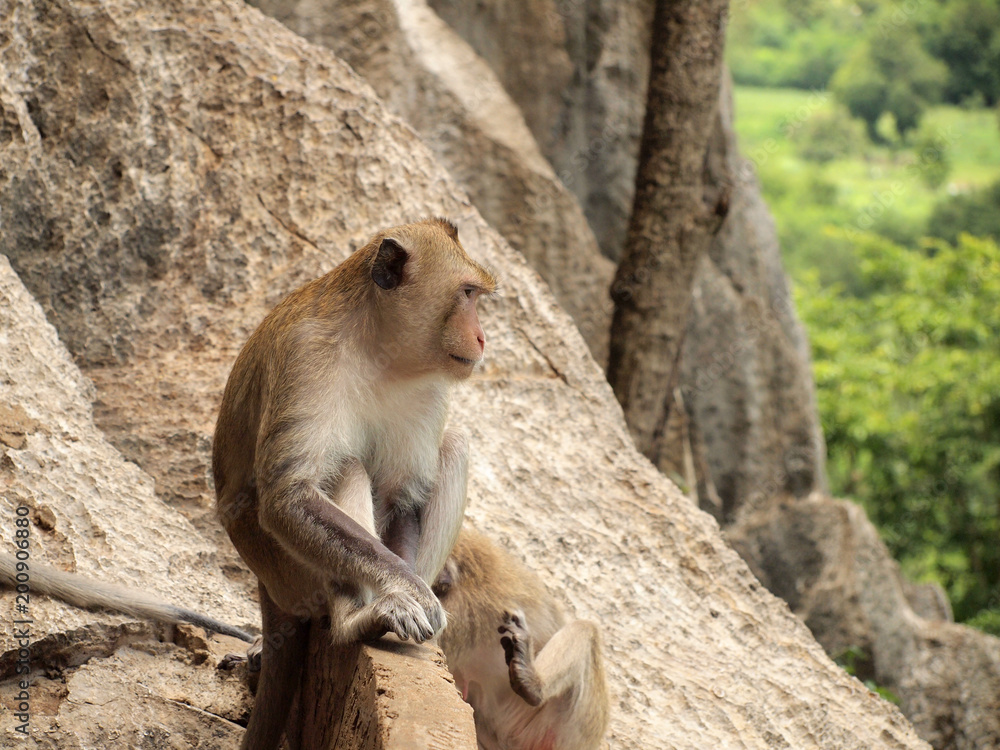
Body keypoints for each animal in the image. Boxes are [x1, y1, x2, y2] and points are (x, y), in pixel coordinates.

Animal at [212, 217, 496, 750]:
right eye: (467, 293)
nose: (482, 337)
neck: (377, 346)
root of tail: (266, 587)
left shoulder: (430, 387)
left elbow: (405, 496)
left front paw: (412, 592)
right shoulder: (305, 354)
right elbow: (288, 497)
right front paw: (407, 592)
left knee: (455, 445)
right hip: (293, 575)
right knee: (343, 467)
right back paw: (354, 621)